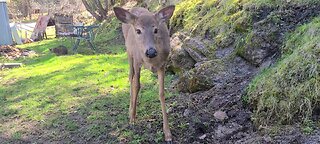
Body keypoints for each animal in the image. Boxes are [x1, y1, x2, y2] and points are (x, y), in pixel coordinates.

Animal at [113, 5, 175, 143]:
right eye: (138, 31)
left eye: (156, 29)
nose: (150, 51)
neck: (151, 61)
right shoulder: (137, 61)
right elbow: (137, 85)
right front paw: (132, 118)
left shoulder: (162, 65)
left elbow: (161, 93)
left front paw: (167, 133)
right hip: (129, 53)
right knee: (131, 77)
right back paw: (130, 110)